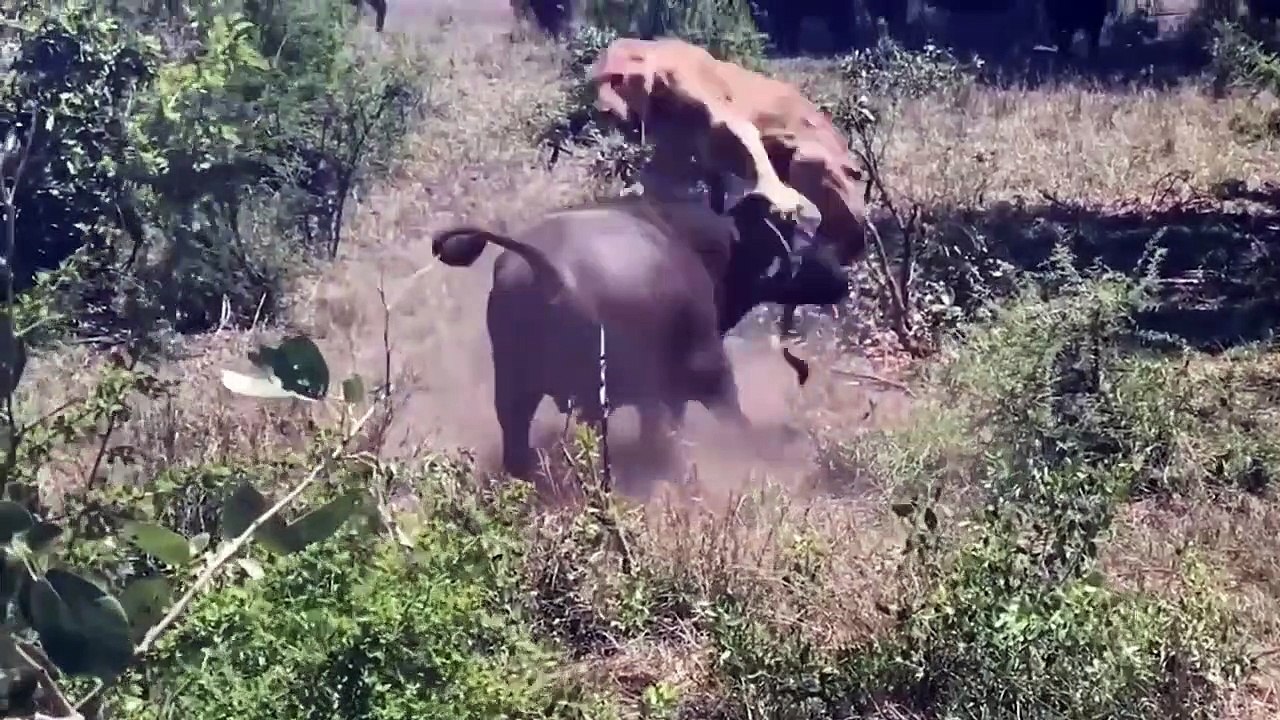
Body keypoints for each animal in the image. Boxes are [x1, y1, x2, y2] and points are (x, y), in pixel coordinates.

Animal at [430, 193, 848, 480]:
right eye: (795, 230)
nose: (841, 277)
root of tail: (546, 266)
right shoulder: (697, 371)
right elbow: (722, 417)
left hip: (515, 386)